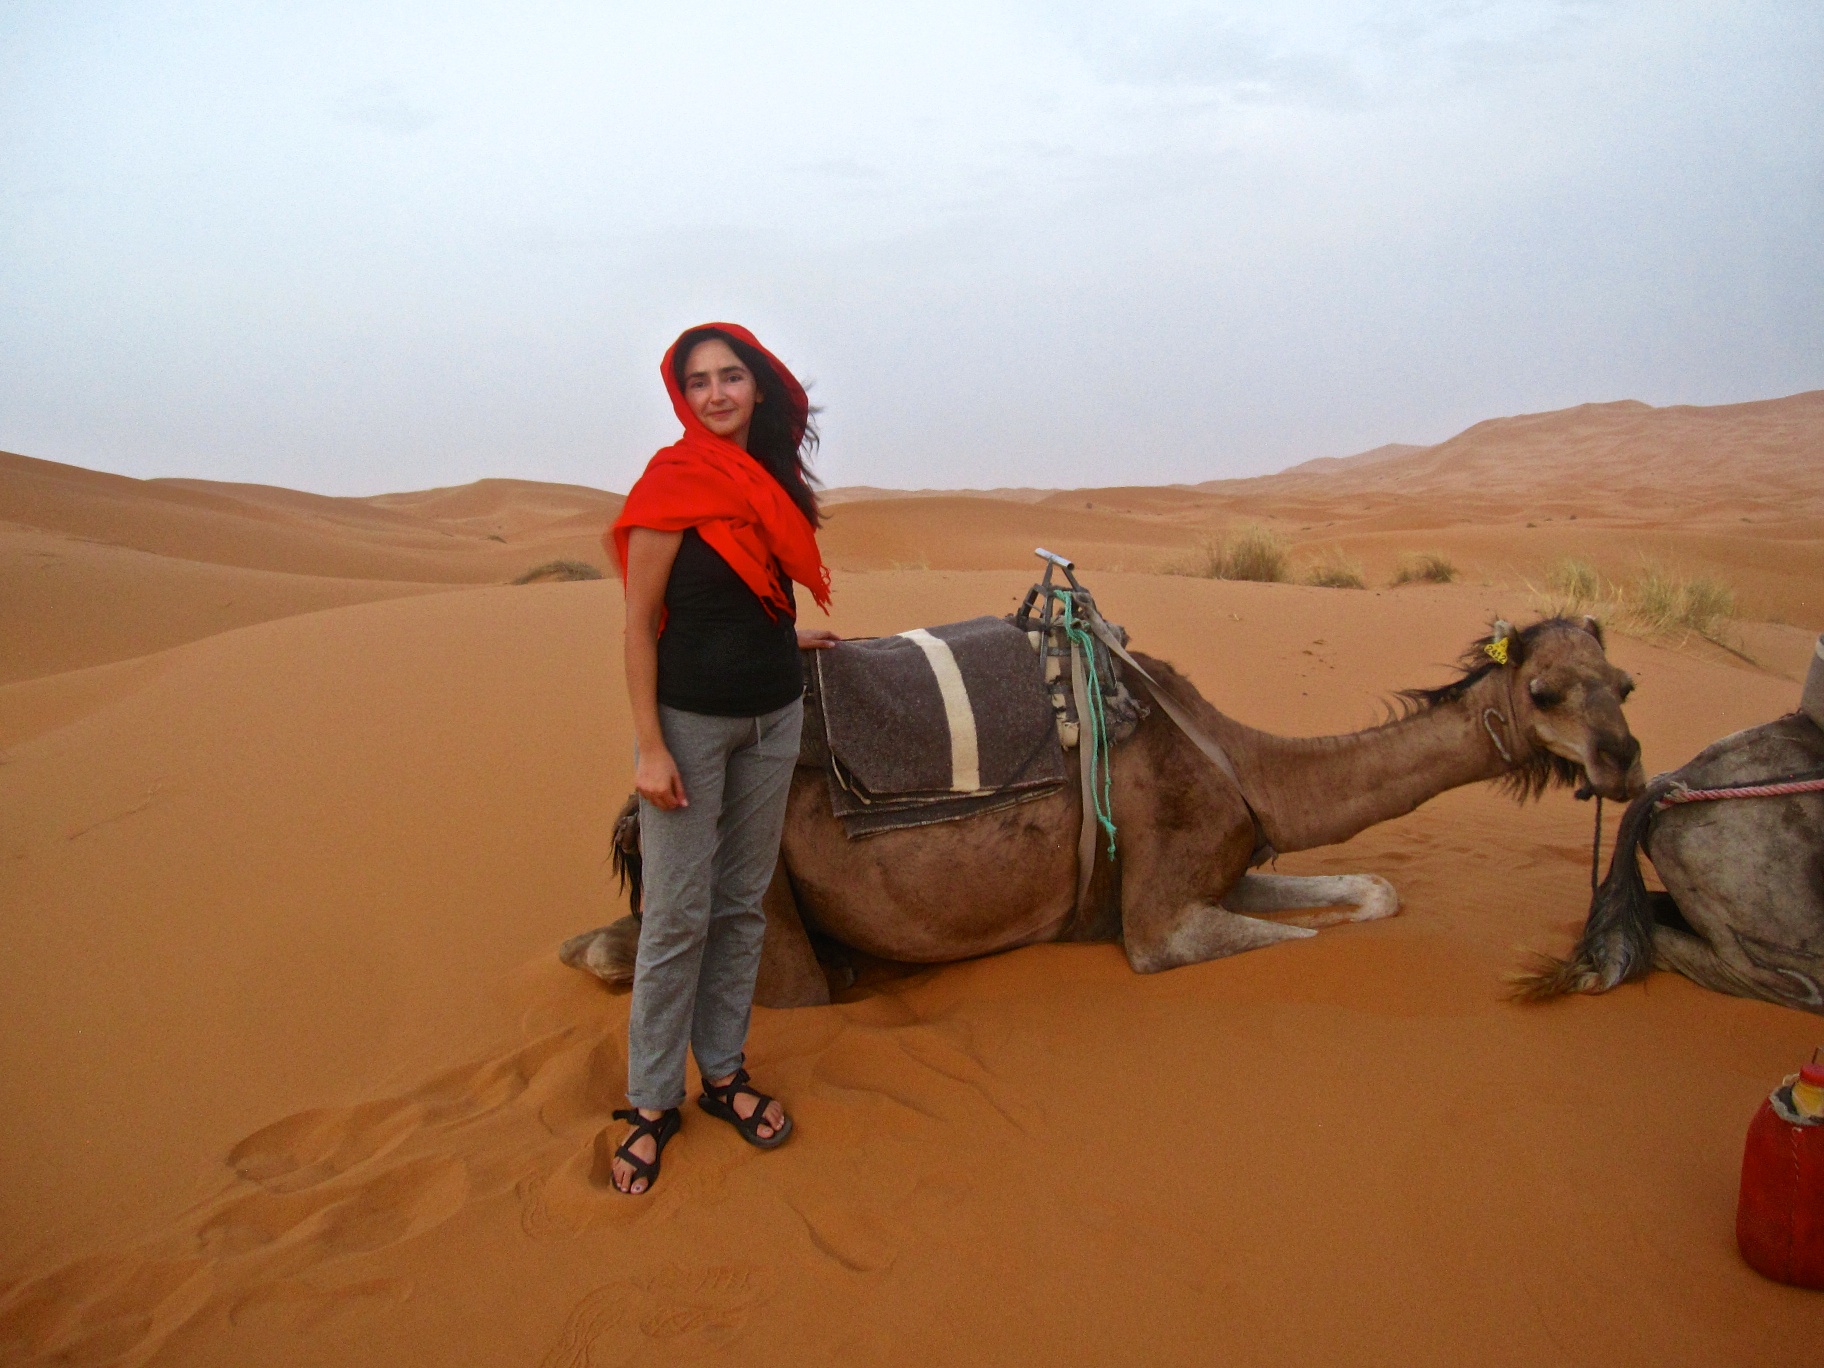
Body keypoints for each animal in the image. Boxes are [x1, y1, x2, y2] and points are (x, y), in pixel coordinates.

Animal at [562, 615, 1645, 1007]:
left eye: (1625, 683)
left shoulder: (1226, 856)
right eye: (1545, 690)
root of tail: (632, 808)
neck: (1240, 758)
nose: (1624, 761)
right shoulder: (1159, 915)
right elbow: (1291, 942)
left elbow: (1374, 892)